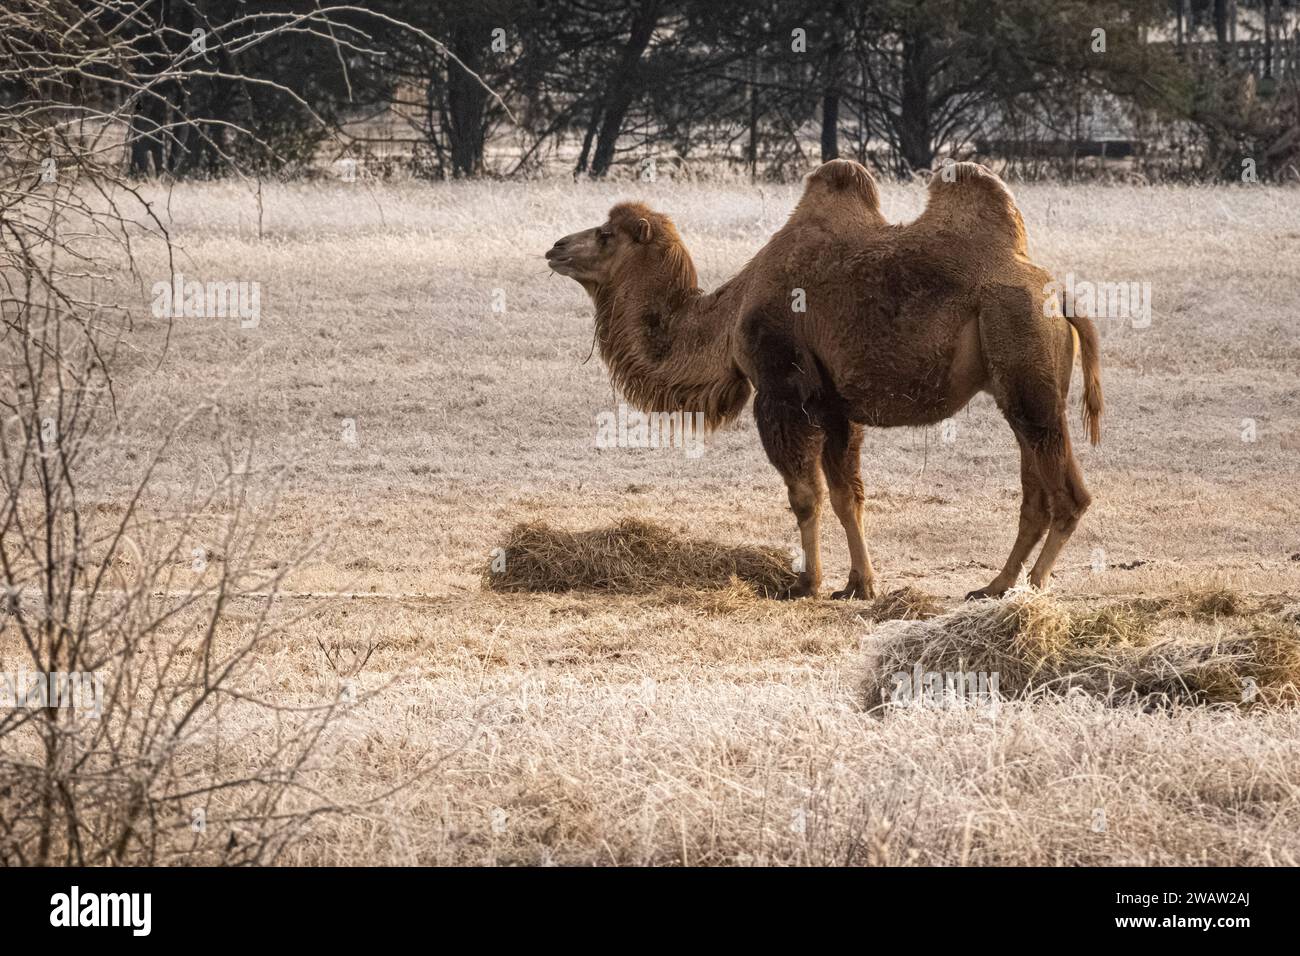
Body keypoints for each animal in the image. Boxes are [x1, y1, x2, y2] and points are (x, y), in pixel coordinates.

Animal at [543, 160, 1102, 600]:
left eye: (606, 234)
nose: (555, 246)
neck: (728, 317)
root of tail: (1059, 296)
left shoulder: (781, 391)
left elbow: (804, 494)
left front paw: (806, 583)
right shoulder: (835, 405)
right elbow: (846, 495)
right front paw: (859, 584)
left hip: (1024, 360)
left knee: (1068, 493)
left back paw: (1033, 588)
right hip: (1019, 386)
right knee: (1035, 493)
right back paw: (995, 586)